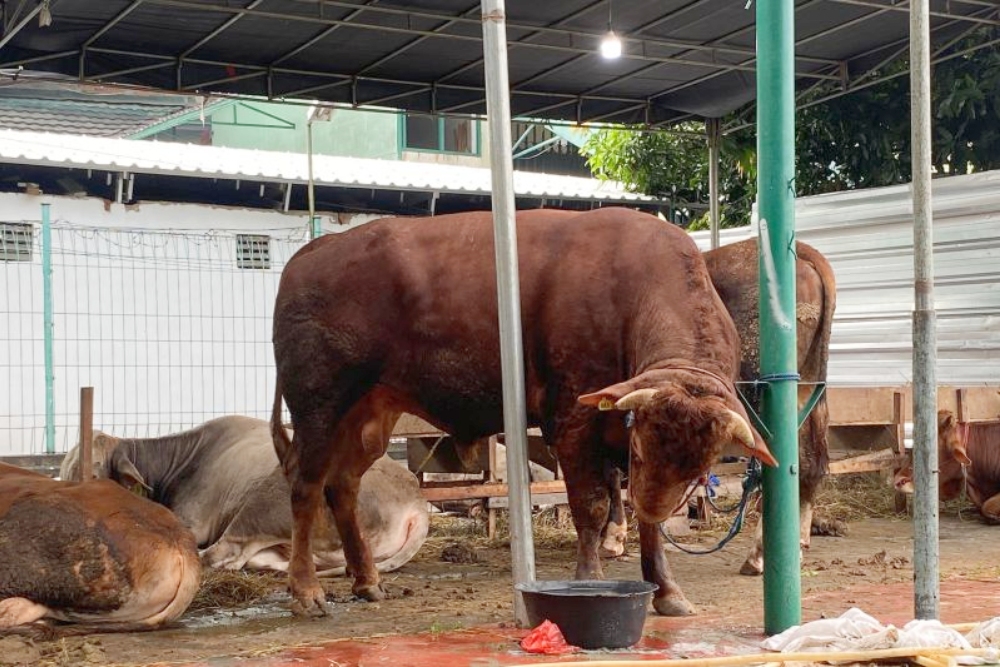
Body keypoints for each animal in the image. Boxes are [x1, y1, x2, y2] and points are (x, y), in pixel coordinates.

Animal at [268, 206, 772, 620]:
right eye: (644, 450)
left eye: (698, 469)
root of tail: (313, 251)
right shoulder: (573, 423)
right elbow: (590, 506)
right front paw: (590, 581)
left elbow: (648, 523)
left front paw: (666, 590)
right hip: (319, 406)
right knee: (305, 486)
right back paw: (306, 591)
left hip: (369, 414)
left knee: (342, 486)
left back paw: (367, 581)